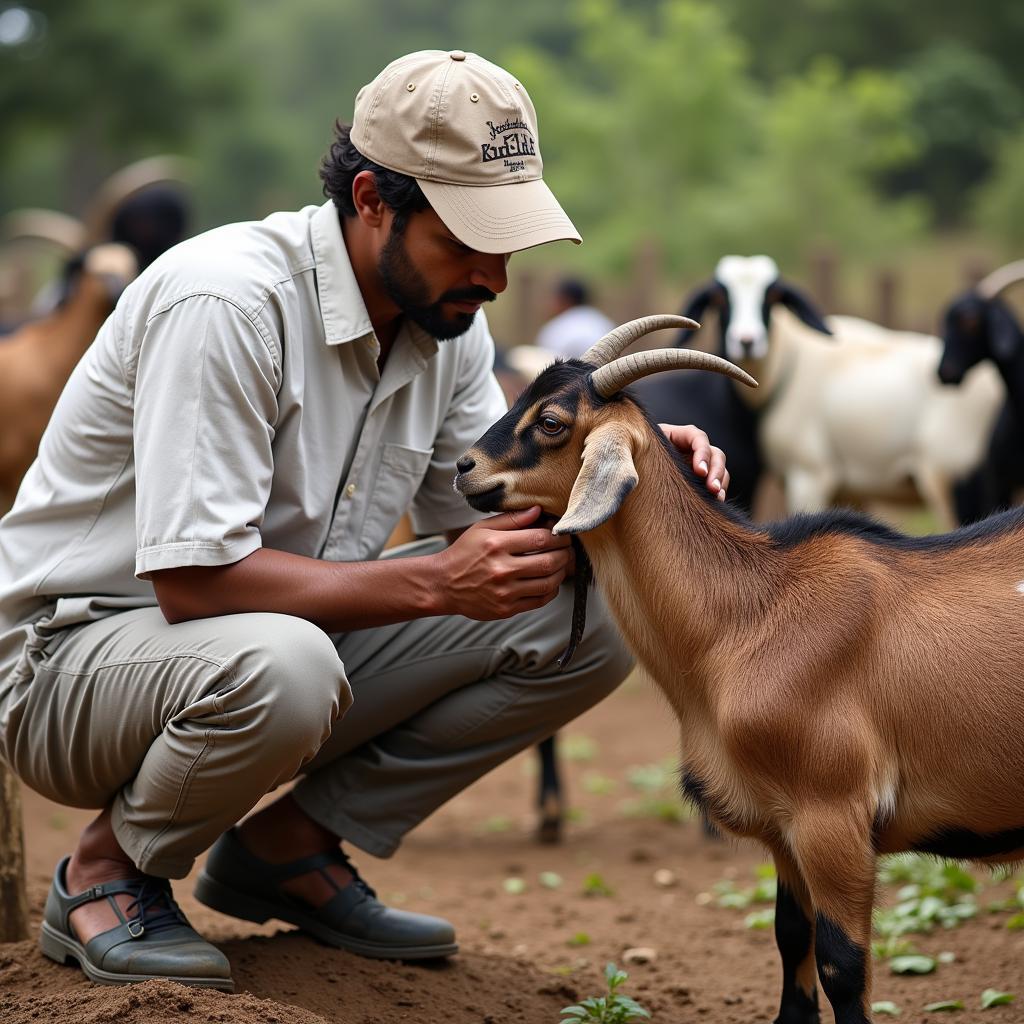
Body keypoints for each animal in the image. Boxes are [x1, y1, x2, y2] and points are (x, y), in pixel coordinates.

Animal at [456, 311, 1024, 1024]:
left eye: (552, 420)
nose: (463, 467)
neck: (749, 616)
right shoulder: (781, 829)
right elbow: (790, 939)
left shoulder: (831, 818)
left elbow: (841, 965)